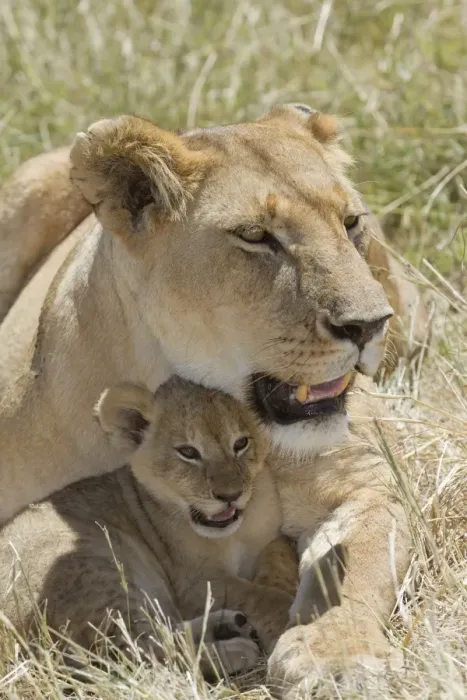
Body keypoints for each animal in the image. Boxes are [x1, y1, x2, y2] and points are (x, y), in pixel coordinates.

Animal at [0, 105, 416, 694]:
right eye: (256, 236)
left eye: (351, 222)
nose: (369, 324)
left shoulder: (366, 482)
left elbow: (360, 563)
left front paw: (339, 654)